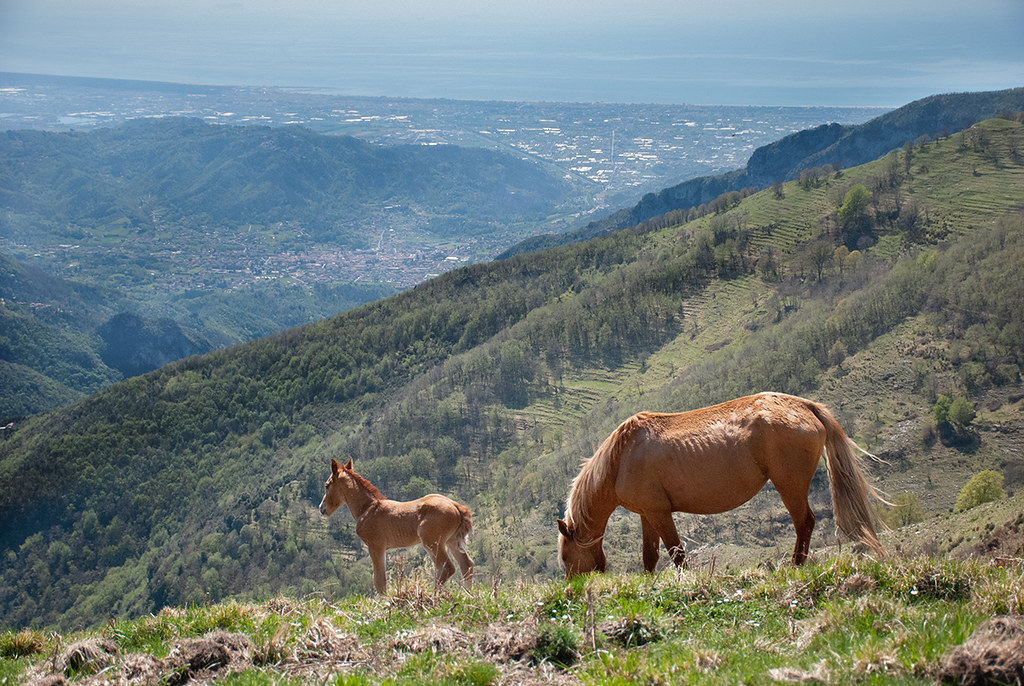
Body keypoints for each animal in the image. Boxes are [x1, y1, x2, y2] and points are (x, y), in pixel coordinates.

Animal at [317, 458, 473, 593]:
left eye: (326, 485)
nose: (321, 508)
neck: (368, 508)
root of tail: (456, 506)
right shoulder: (381, 548)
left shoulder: (375, 547)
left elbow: (379, 581)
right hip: (452, 541)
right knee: (466, 565)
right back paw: (468, 594)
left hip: (432, 542)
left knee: (447, 568)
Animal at [557, 395, 884, 577]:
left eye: (565, 557)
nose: (574, 586)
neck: (620, 458)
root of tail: (803, 405)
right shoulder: (647, 514)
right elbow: (650, 557)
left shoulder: (660, 513)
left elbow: (677, 553)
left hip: (789, 486)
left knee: (805, 523)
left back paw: (796, 566)